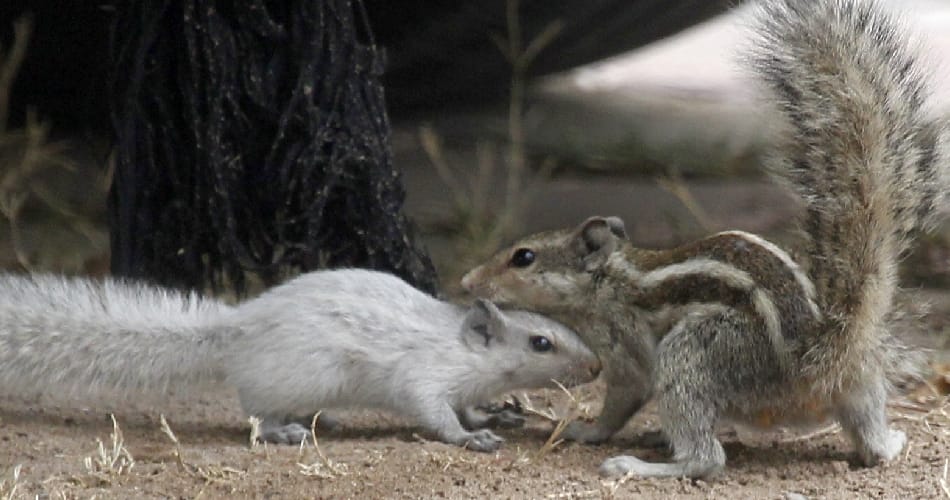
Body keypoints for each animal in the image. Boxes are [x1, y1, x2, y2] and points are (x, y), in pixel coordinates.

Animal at [0, 269, 601, 451]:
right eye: (541, 343)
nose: (595, 368)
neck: (460, 347)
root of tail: (236, 332)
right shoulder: (423, 377)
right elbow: (436, 416)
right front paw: (470, 438)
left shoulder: (461, 385)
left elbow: (468, 407)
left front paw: (496, 414)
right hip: (286, 382)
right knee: (255, 414)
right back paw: (284, 432)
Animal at [460, 0, 948, 477]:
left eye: (523, 257)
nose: (466, 283)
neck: (610, 279)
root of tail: (815, 359)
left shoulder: (622, 337)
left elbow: (628, 391)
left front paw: (585, 431)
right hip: (858, 382)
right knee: (870, 435)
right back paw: (889, 441)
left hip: (696, 352)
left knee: (707, 458)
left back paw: (643, 465)